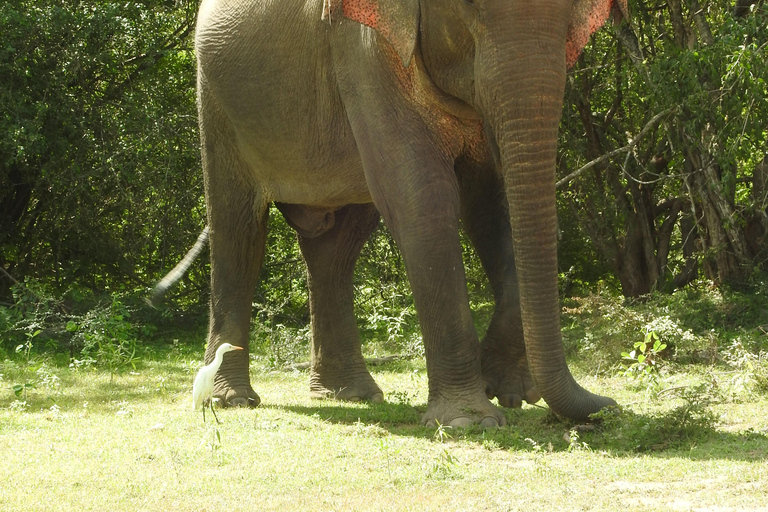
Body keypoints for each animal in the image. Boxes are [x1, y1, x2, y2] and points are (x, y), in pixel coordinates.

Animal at [188, 0, 625, 427]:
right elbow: (422, 194)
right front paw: (468, 421)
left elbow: (490, 197)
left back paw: (351, 395)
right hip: (218, 104)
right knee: (238, 231)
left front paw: (506, 392)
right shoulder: (363, 50)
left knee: (334, 250)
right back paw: (233, 399)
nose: (609, 406)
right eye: (468, 4)